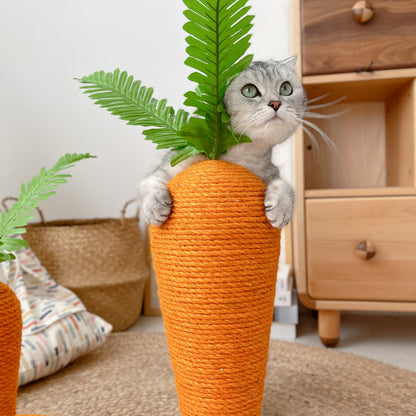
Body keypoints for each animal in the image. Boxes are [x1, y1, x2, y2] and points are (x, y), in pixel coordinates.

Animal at [139, 56, 306, 228]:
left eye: (285, 88)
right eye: (249, 91)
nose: (275, 103)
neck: (240, 156)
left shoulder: (270, 172)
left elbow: (285, 186)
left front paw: (282, 209)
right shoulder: (172, 164)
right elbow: (150, 182)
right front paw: (154, 207)